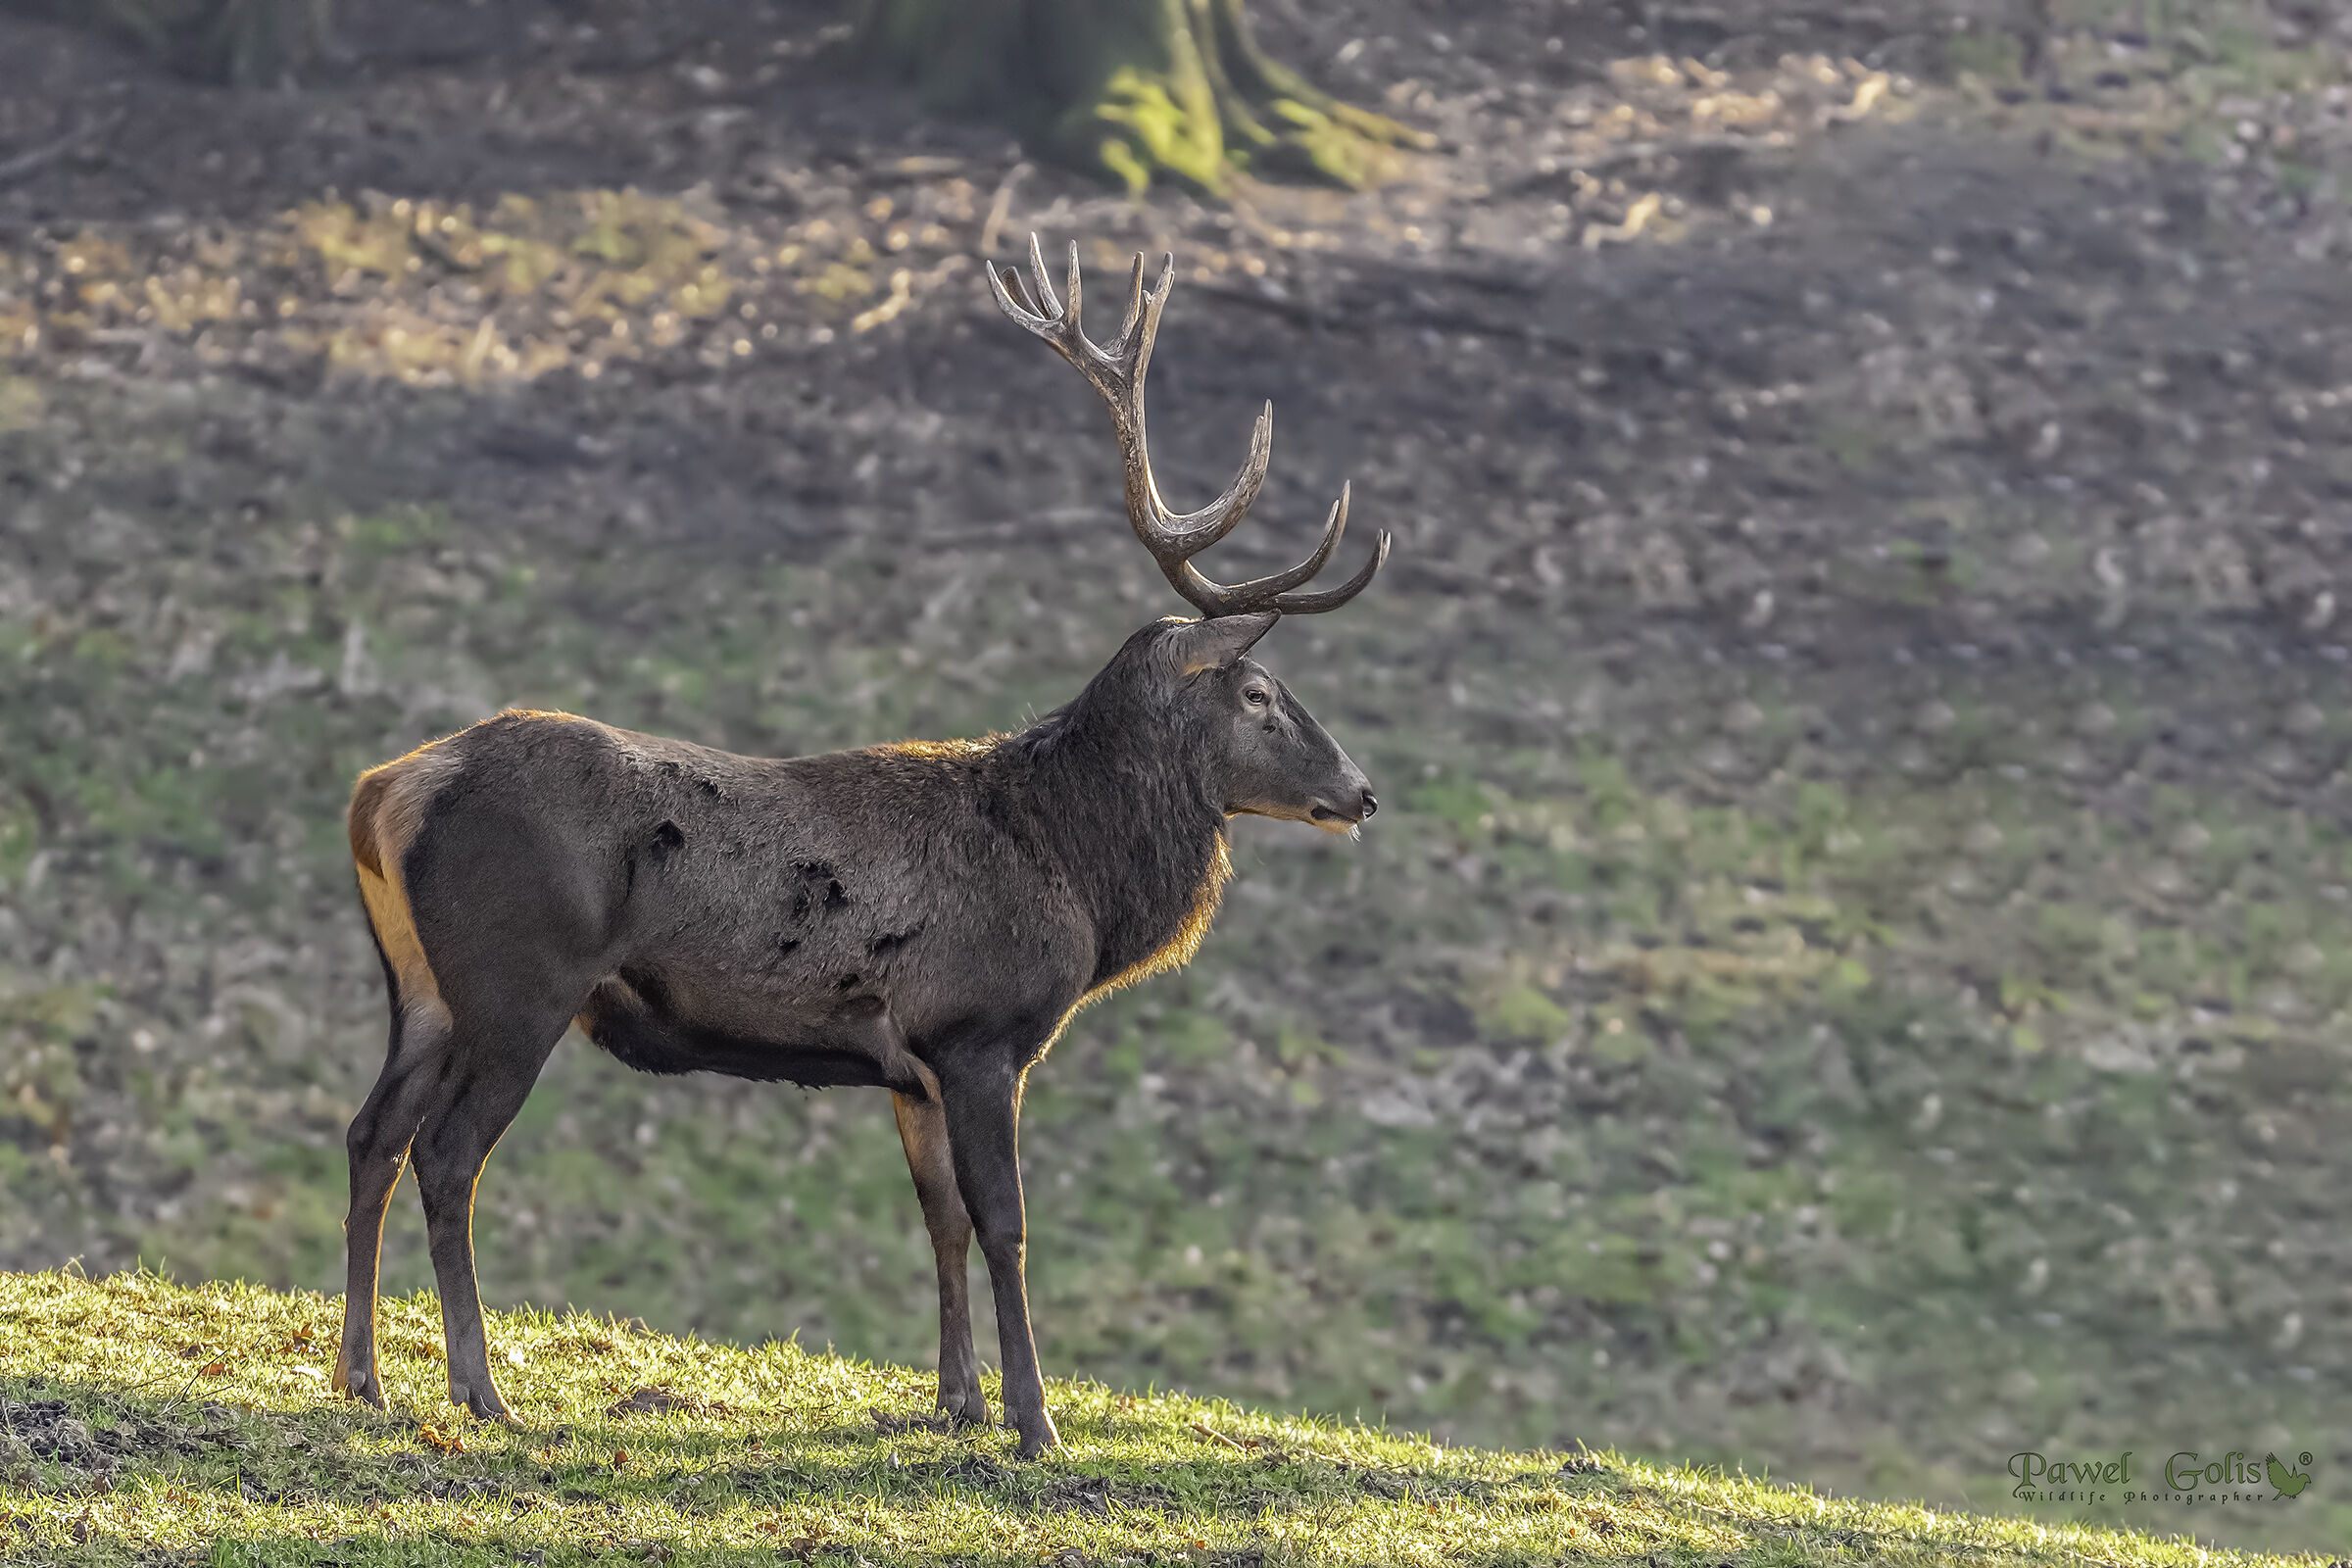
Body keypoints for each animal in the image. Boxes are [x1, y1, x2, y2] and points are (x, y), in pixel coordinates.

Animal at [331, 237, 1389, 1459]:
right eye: (1260, 694)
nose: (1362, 793)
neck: (1074, 872)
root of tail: (386, 791)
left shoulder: (911, 1065)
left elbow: (939, 1221)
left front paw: (957, 1399)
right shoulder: (980, 1033)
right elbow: (1005, 1224)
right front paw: (1035, 1421)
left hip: (423, 988)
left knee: (370, 1133)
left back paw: (361, 1375)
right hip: (520, 983)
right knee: (448, 1153)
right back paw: (477, 1386)